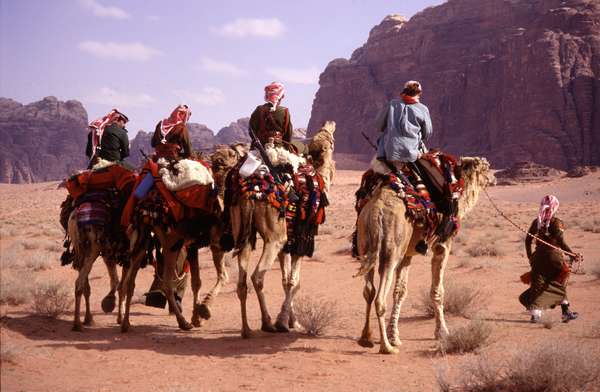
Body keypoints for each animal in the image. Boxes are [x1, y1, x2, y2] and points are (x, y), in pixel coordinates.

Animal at [118, 145, 245, 332]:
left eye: (231, 154)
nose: (219, 159)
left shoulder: (197, 245)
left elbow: (199, 281)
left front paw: (197, 316)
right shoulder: (212, 243)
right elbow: (220, 277)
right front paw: (203, 311)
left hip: (144, 239)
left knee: (130, 281)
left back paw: (126, 323)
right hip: (171, 241)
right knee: (165, 282)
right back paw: (182, 322)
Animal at [230, 121, 336, 338]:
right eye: (331, 140)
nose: (332, 124)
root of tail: (252, 190)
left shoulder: (288, 241)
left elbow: (285, 279)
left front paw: (290, 321)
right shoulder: (300, 239)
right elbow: (294, 281)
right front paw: (286, 322)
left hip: (243, 233)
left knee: (242, 282)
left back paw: (246, 329)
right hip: (275, 238)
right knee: (257, 276)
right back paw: (267, 323)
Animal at [356, 156, 492, 356]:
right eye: (486, 167)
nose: (494, 177)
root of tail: (377, 211)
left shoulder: (407, 254)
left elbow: (400, 292)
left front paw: (394, 335)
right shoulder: (442, 245)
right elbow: (437, 290)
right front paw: (442, 332)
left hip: (366, 244)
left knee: (368, 291)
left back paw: (366, 338)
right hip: (391, 249)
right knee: (379, 297)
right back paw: (386, 347)